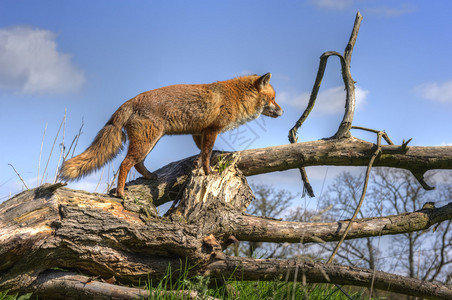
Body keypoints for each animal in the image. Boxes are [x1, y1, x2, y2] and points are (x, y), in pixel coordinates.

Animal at [59, 73, 282, 198]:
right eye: (272, 98)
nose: (282, 111)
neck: (236, 96)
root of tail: (129, 102)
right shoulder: (212, 130)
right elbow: (207, 154)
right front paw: (209, 172)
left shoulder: (198, 131)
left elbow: (202, 153)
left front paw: (197, 166)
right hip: (147, 141)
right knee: (125, 163)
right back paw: (121, 193)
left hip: (150, 141)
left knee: (137, 163)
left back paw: (149, 177)